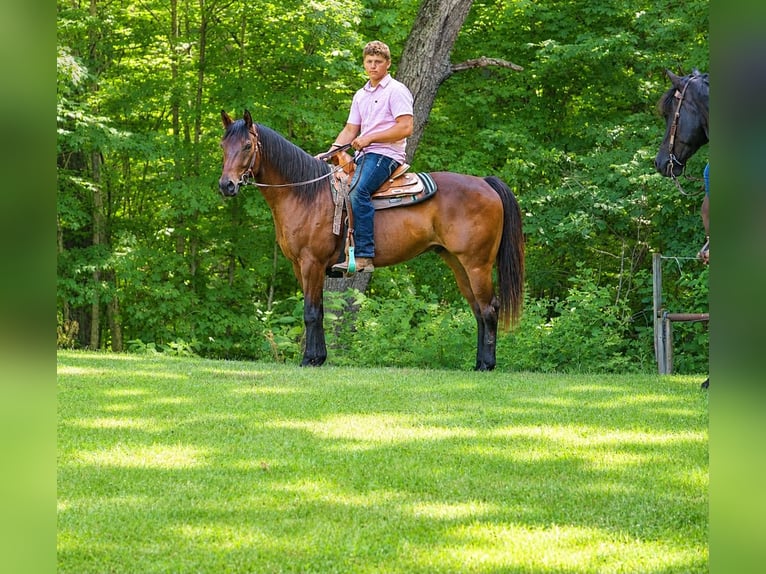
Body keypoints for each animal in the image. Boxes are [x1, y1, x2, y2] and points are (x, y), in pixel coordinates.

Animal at [218, 110, 524, 370]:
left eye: (247, 146)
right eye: (223, 146)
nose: (226, 185)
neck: (306, 194)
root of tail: (485, 183)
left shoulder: (311, 263)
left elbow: (312, 312)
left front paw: (309, 360)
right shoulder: (300, 266)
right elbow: (318, 310)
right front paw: (318, 358)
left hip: (477, 264)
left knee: (489, 308)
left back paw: (487, 365)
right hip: (458, 264)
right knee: (477, 309)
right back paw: (478, 362)